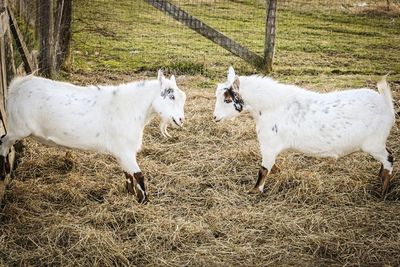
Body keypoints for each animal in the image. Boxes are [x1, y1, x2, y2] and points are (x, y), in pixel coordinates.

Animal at [0, 70, 186, 204]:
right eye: (171, 96)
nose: (181, 120)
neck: (130, 107)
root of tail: (17, 86)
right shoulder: (125, 150)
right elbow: (139, 175)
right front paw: (144, 201)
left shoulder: (122, 152)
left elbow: (127, 174)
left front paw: (130, 193)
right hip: (18, 128)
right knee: (3, 141)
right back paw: (5, 170)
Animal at [214, 66, 396, 197]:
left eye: (227, 100)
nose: (215, 117)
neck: (270, 106)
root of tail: (386, 104)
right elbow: (272, 167)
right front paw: (278, 173)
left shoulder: (269, 146)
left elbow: (263, 169)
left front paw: (254, 190)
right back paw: (379, 178)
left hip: (374, 143)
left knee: (389, 158)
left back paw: (382, 191)